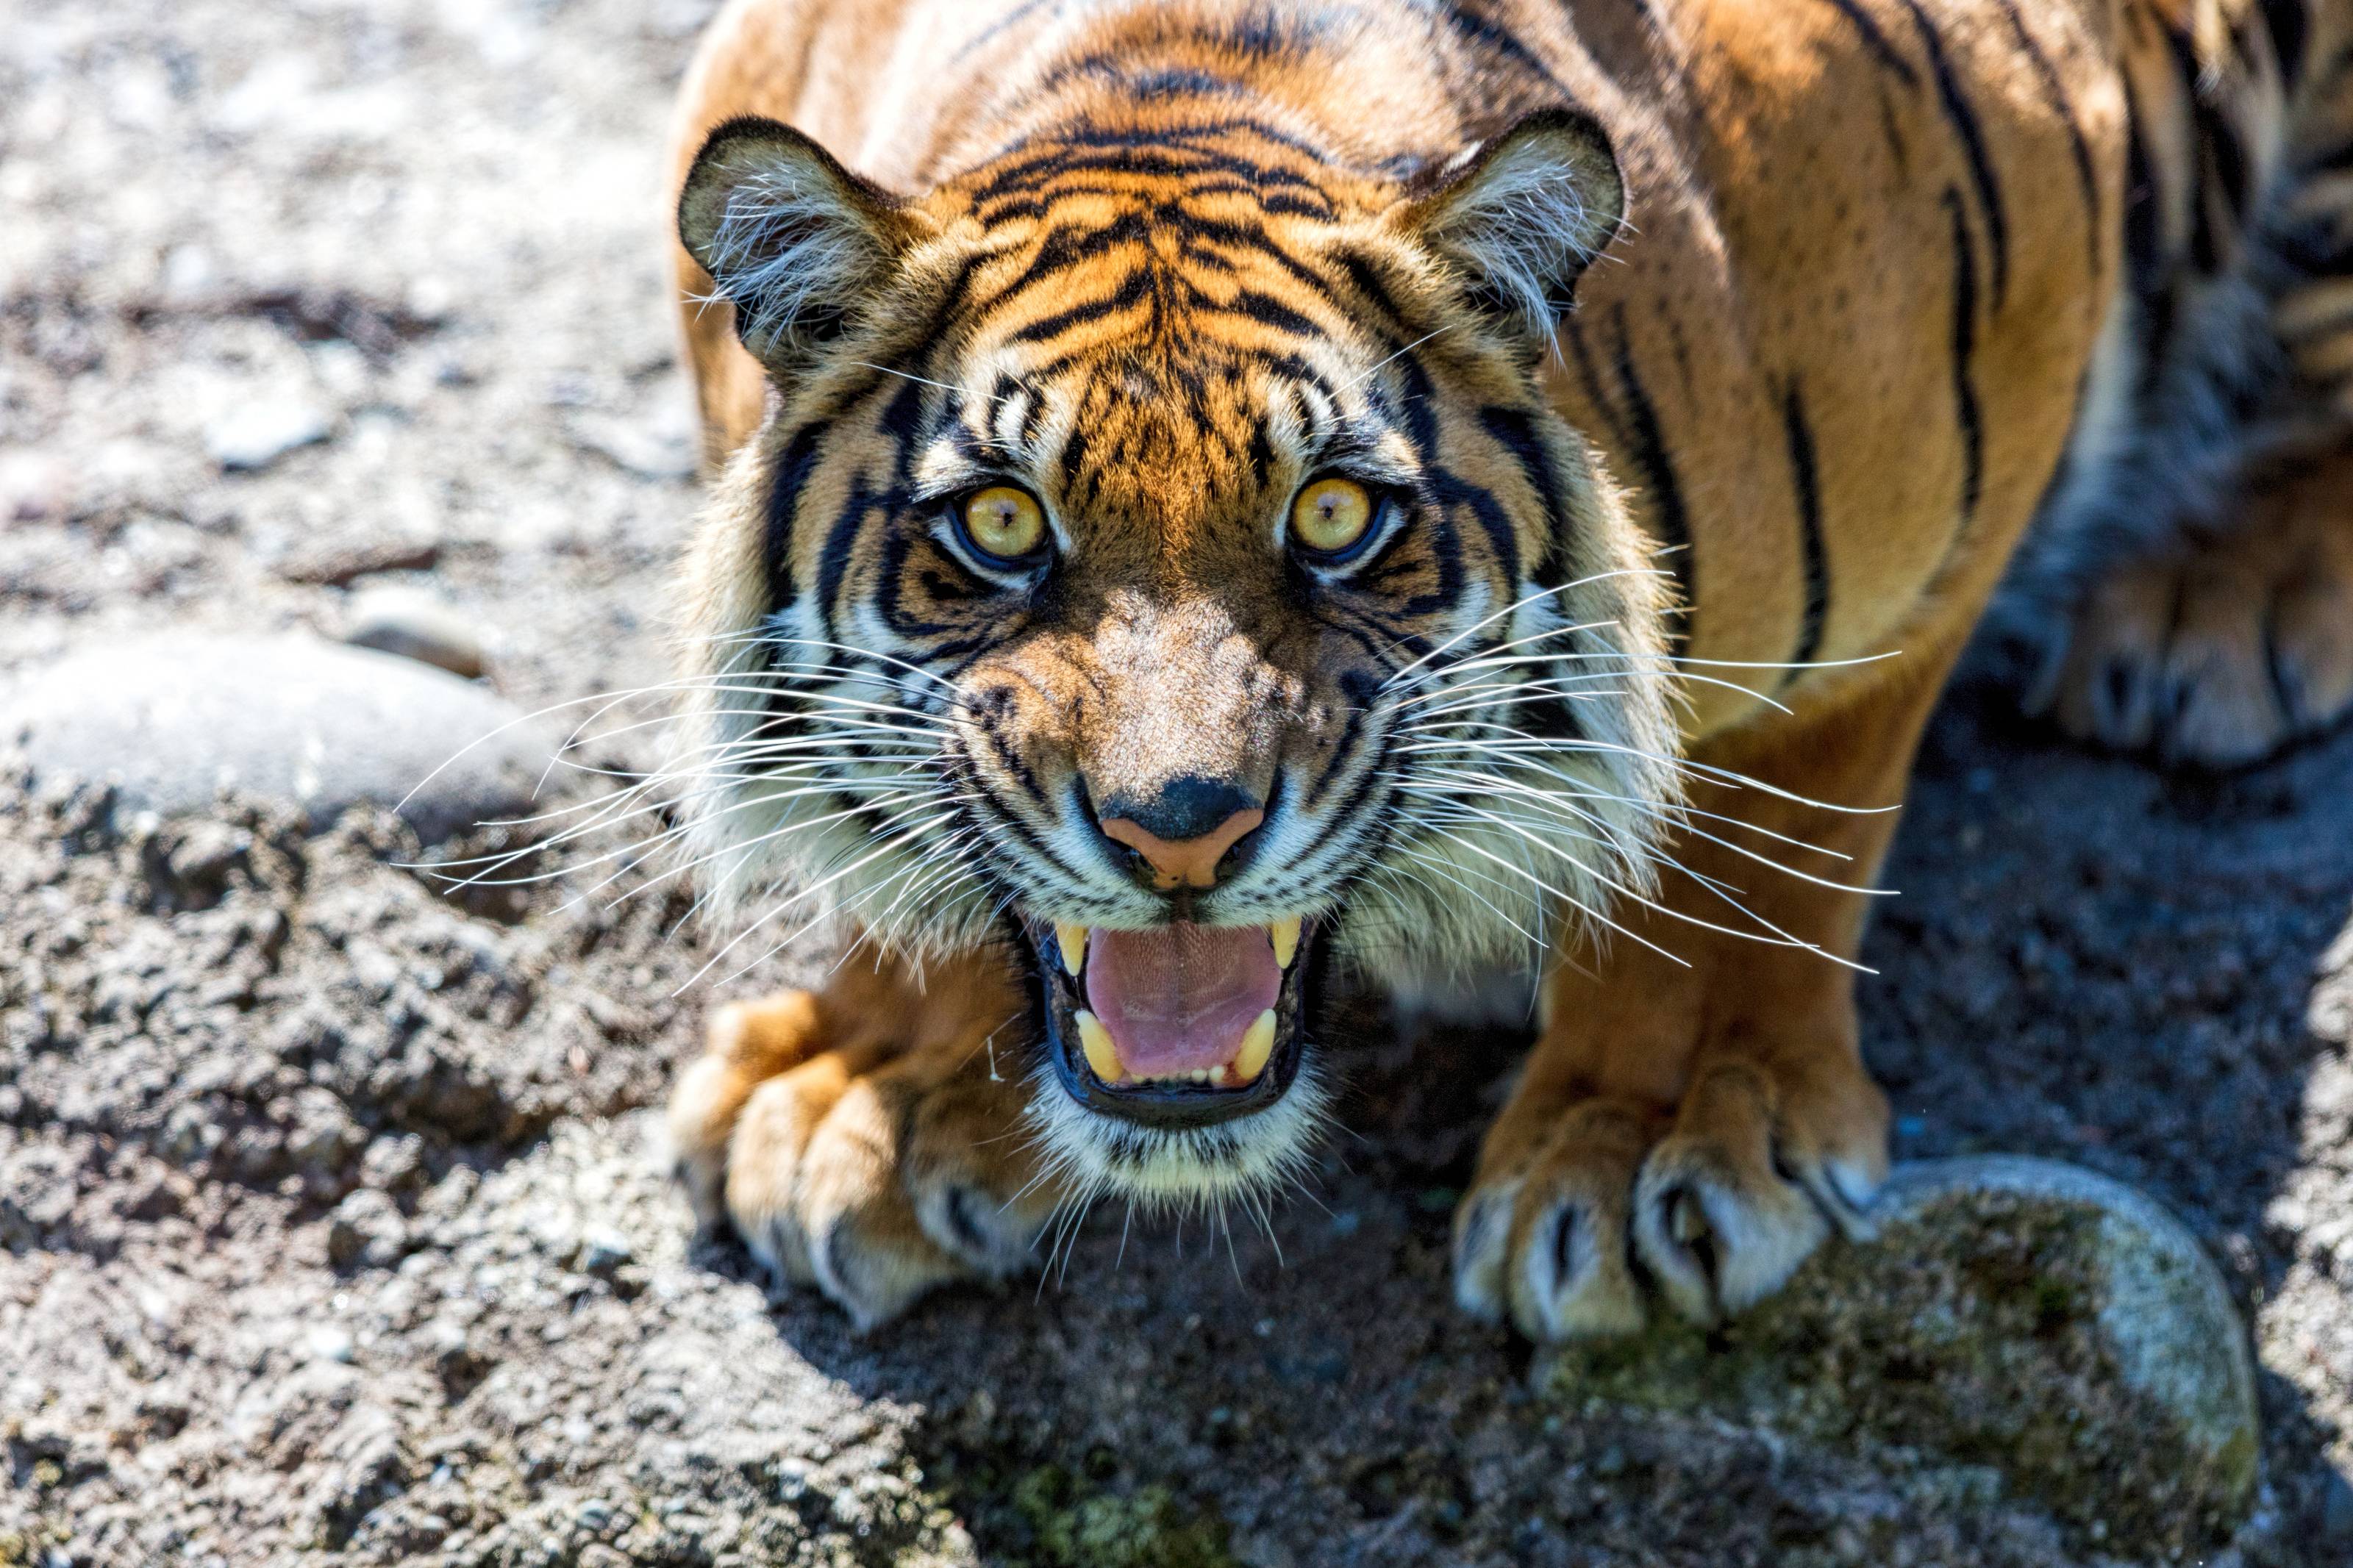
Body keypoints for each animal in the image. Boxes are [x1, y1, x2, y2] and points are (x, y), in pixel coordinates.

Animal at [654, 0, 2353, 1345]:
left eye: (1334, 515)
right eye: (1002, 523)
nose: (1180, 830)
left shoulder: (1953, 462)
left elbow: (1740, 834)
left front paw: (1644, 1144)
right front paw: (867, 1093)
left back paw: (2219, 597)